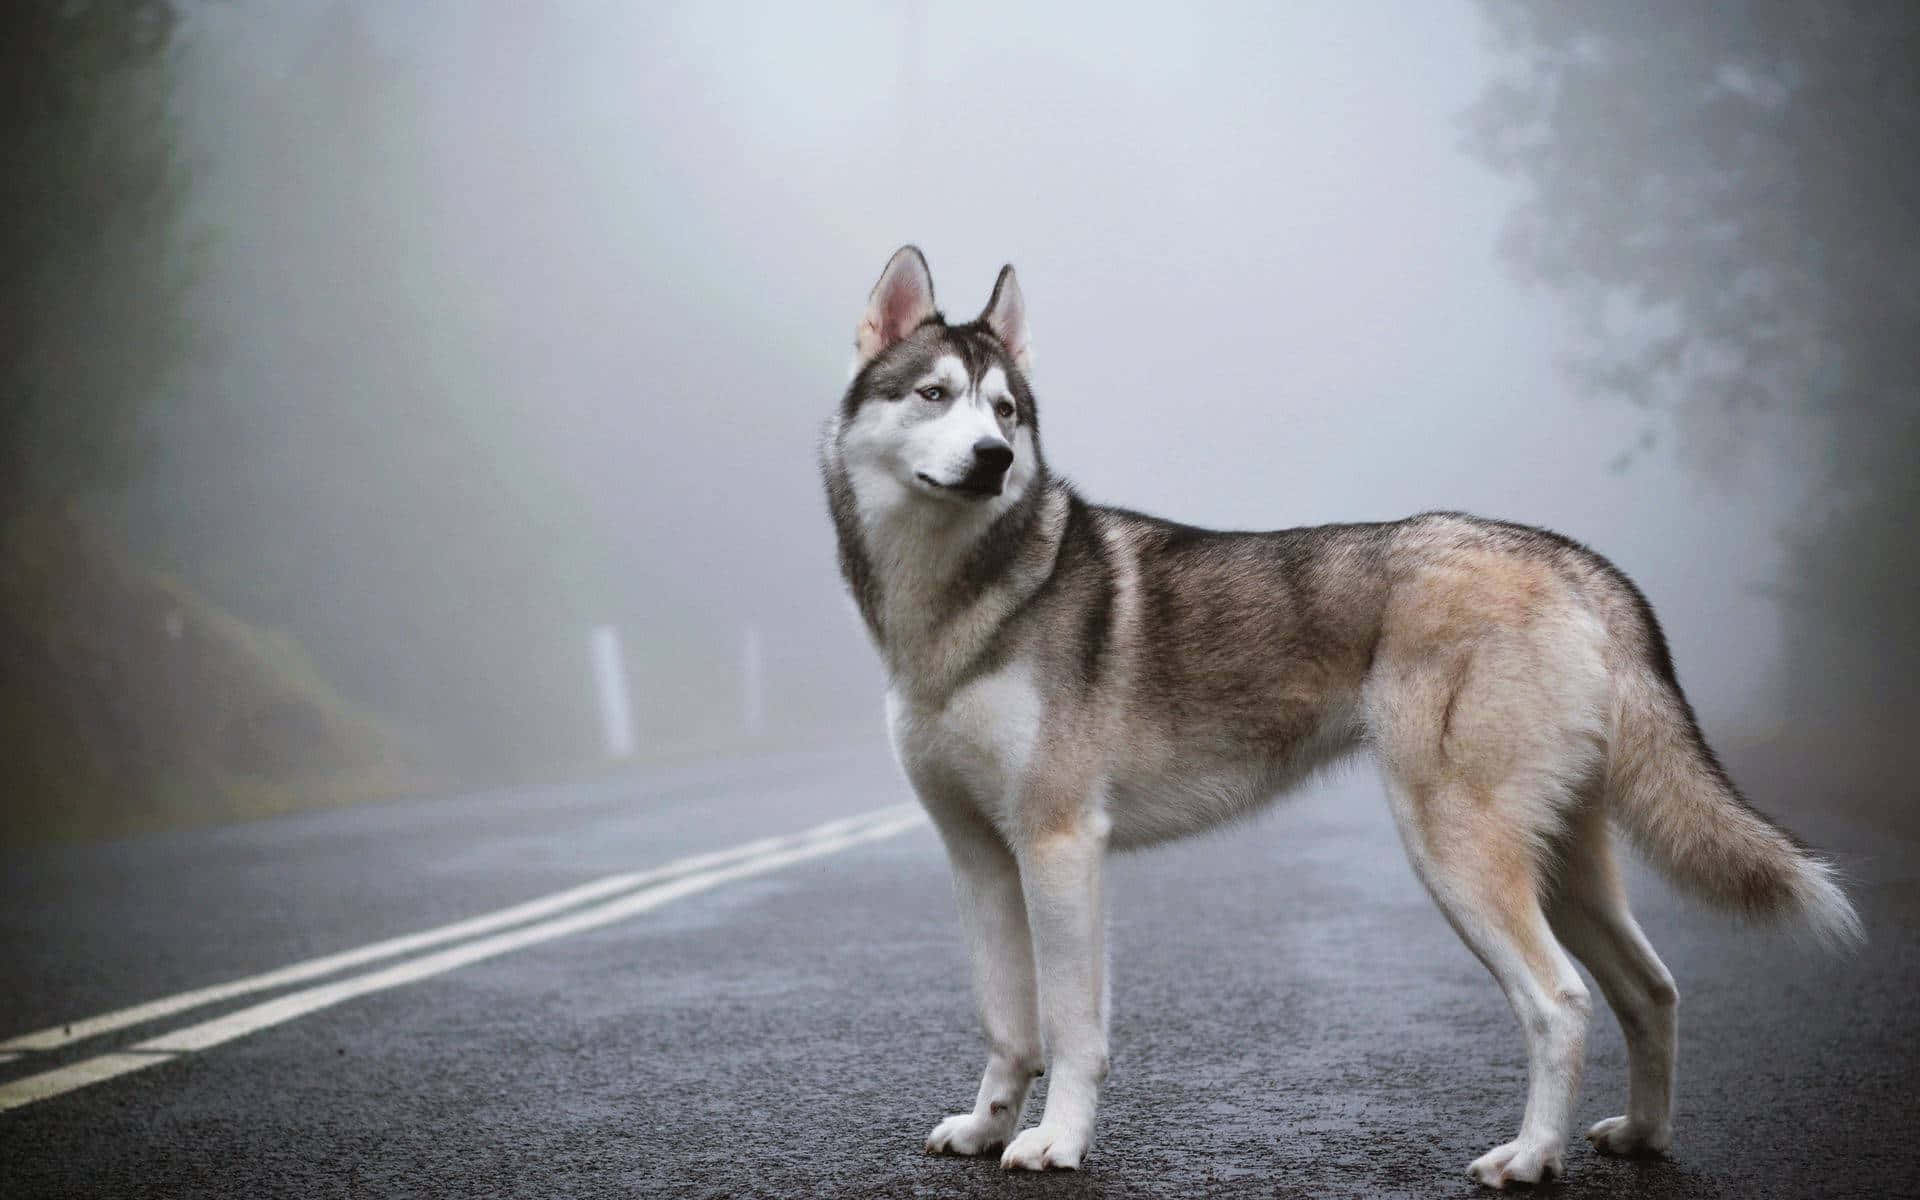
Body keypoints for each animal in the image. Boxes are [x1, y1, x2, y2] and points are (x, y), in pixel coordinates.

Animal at [821, 247, 1858, 1182]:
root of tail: (1572, 560)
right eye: (934, 395)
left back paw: (1530, 1157)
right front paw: (986, 1129)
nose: (994, 459)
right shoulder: (981, 858)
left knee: (1561, 1001)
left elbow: (1072, 1029)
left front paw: (1056, 1143)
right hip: (1566, 868)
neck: (956, 607)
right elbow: (1008, 1024)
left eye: (1004, 410)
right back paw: (1642, 1139)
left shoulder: (1061, 844)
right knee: (1652, 990)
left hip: (1456, 852)